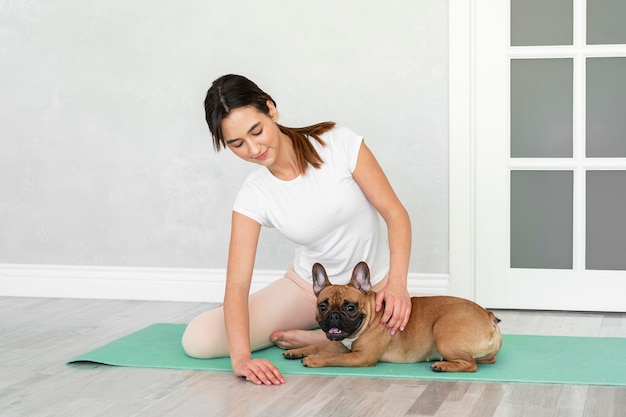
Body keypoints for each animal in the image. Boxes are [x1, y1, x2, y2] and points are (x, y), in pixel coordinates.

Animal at [284, 262, 502, 372]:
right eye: (322, 306)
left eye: (350, 307)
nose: (334, 316)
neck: (370, 317)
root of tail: (488, 316)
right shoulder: (341, 345)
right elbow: (319, 345)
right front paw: (296, 352)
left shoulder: (361, 357)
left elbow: (332, 357)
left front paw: (313, 360)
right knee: (483, 360)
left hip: (443, 332)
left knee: (471, 365)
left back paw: (441, 366)